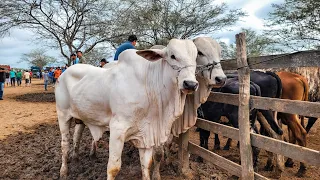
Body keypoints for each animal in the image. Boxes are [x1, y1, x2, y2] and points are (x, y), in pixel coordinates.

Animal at [56, 38, 199, 179]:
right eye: (173, 56)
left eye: (195, 58)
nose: (190, 84)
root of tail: (64, 73)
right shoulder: (117, 129)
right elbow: (113, 168)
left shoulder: (146, 135)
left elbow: (146, 165)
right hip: (63, 116)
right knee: (64, 145)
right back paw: (63, 171)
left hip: (81, 117)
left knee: (77, 136)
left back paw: (77, 158)